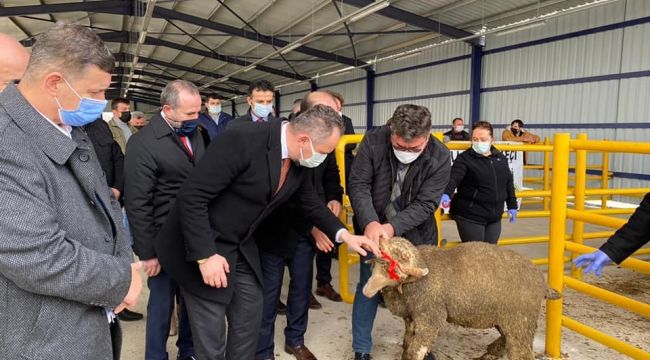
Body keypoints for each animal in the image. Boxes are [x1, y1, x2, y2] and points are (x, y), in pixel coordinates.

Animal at [360, 236, 556, 360]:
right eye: (378, 263)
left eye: (393, 271)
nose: (367, 291)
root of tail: (542, 282)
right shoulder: (412, 316)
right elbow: (407, 343)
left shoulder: (431, 317)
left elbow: (415, 351)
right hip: (509, 320)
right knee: (508, 340)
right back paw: (489, 353)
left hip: (520, 320)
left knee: (521, 352)